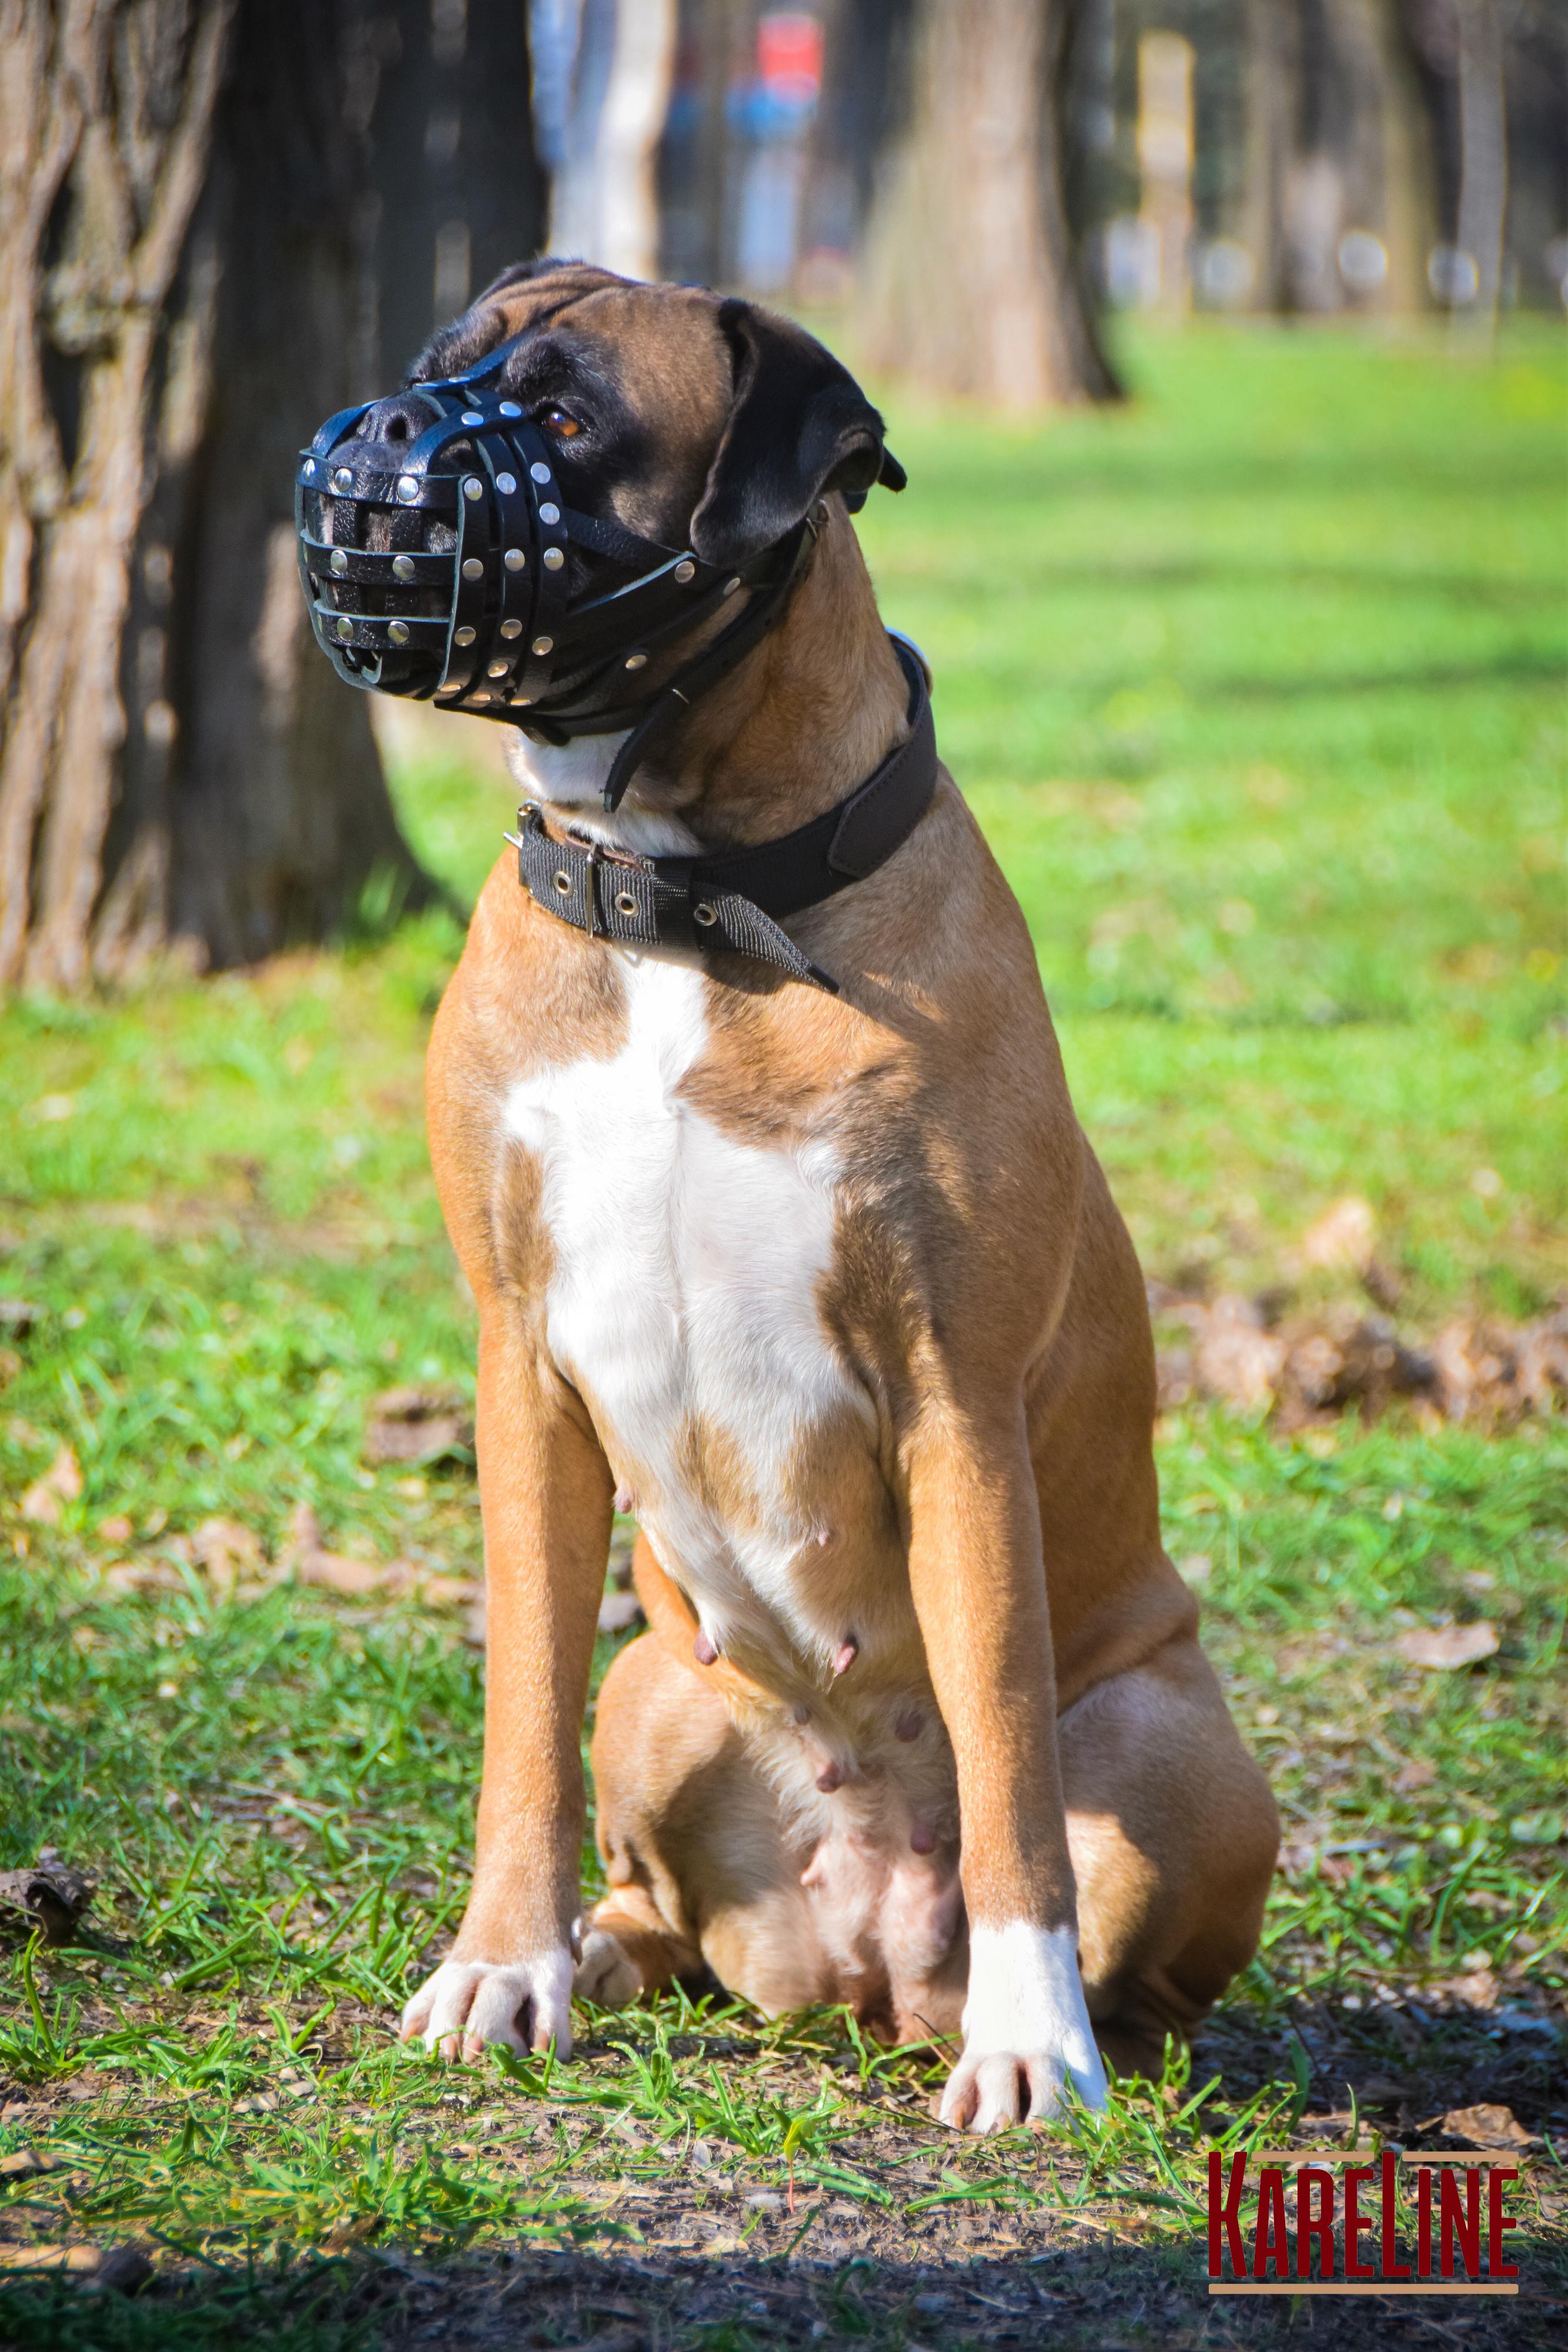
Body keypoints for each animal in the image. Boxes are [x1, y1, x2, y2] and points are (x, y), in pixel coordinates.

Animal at [390, 262, 1279, 2136]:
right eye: (434, 370)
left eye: (568, 417)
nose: (381, 437)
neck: (686, 896)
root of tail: (868, 1970)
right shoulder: (520, 1372)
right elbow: (518, 1710)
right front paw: (503, 1964)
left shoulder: (956, 1402)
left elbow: (1008, 1754)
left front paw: (1035, 2042)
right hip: (657, 1686)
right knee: (652, 1884)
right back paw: (601, 1953)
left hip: (1176, 1742)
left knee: (1130, 1915)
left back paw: (1086, 2033)